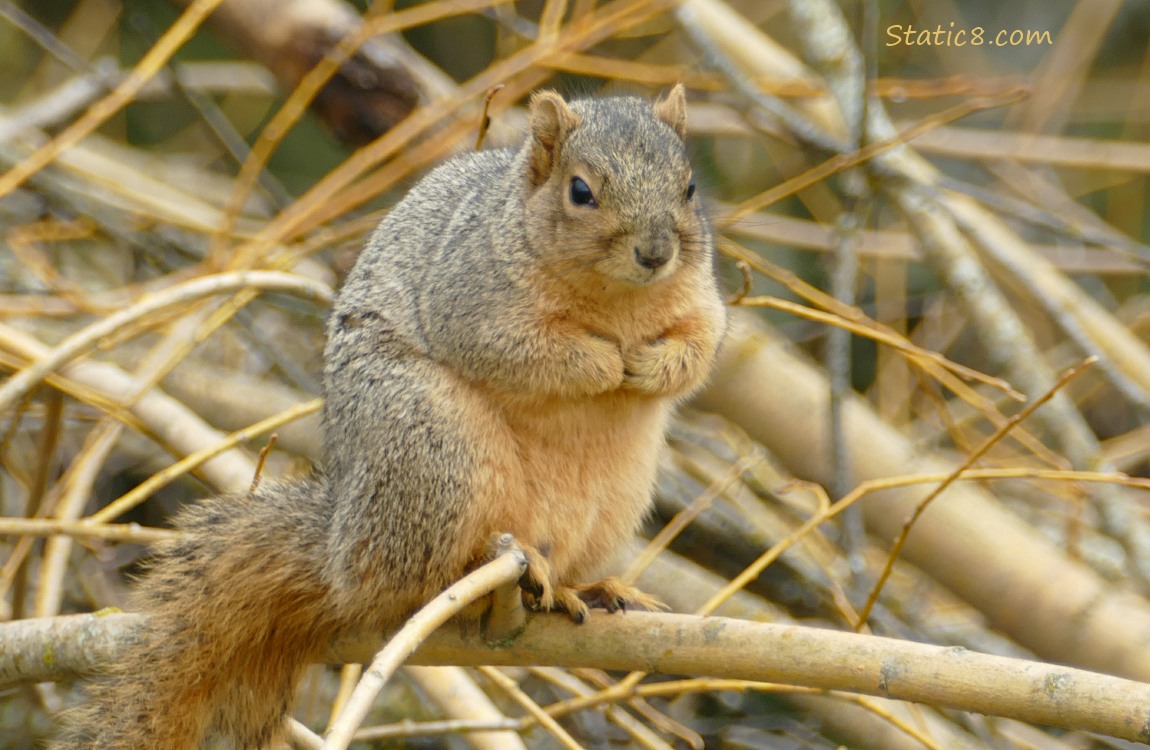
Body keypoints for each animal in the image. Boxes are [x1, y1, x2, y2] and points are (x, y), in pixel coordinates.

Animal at [54, 83, 726, 750]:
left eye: (690, 187)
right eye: (580, 191)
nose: (656, 252)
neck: (619, 300)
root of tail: (339, 557)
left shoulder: (701, 299)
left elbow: (702, 348)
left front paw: (653, 367)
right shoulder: (471, 298)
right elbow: (519, 350)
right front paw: (603, 363)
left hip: (612, 500)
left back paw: (579, 587)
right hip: (435, 448)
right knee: (408, 585)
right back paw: (495, 573)